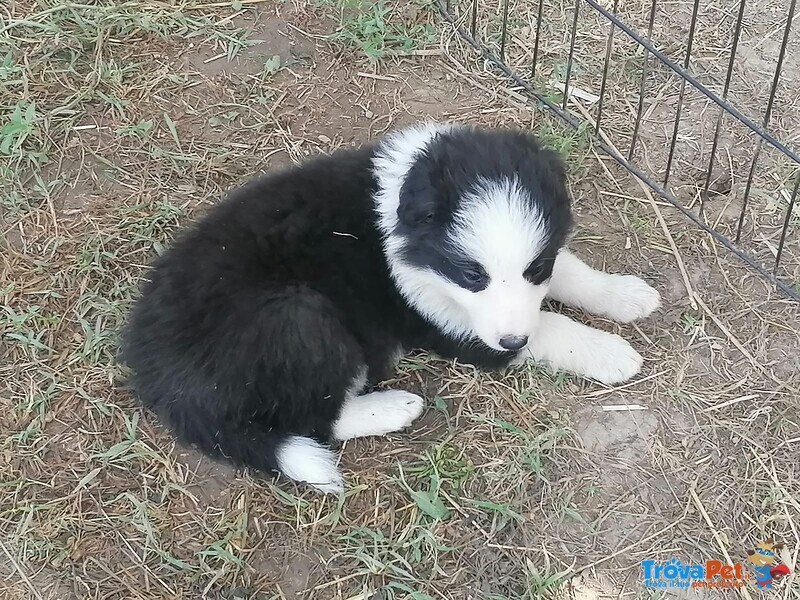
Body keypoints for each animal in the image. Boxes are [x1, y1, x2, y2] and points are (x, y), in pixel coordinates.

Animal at [122, 120, 664, 492]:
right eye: (472, 275)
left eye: (535, 268)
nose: (513, 338)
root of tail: (159, 381)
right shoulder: (448, 321)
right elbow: (549, 326)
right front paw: (611, 353)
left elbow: (567, 273)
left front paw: (624, 294)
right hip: (297, 316)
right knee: (315, 421)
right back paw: (394, 406)